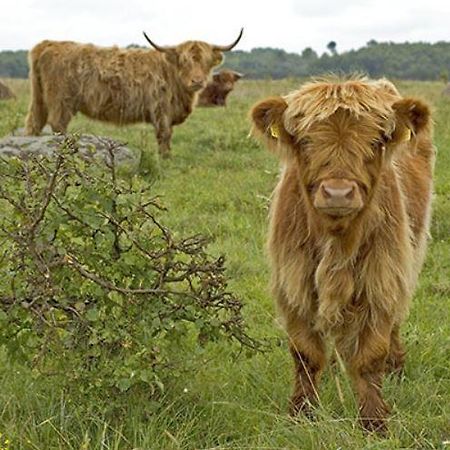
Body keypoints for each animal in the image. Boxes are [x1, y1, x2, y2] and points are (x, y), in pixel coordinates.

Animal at [24, 29, 243, 156]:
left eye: (206, 61)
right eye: (184, 61)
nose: (197, 81)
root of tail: (48, 43)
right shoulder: (161, 109)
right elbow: (164, 135)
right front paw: (165, 159)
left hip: (39, 98)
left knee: (34, 122)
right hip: (61, 101)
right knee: (57, 124)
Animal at [251, 77, 434, 432]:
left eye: (376, 140)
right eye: (305, 140)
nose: (338, 193)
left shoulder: (381, 277)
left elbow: (370, 356)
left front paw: (374, 421)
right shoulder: (294, 282)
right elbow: (306, 354)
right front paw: (301, 413)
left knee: (394, 325)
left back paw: (395, 366)